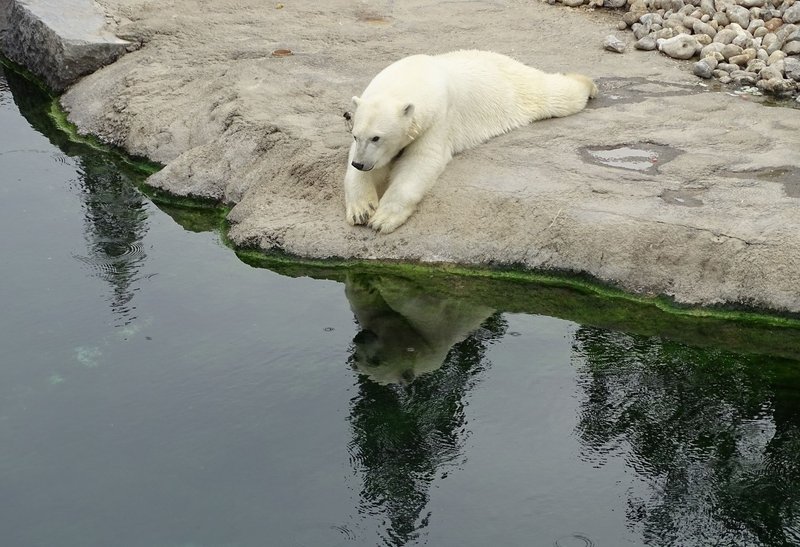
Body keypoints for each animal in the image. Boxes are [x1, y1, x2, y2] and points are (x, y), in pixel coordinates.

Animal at [343, 50, 597, 234]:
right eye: (356, 135)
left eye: (377, 137)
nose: (360, 164)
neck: (413, 74)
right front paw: (362, 209)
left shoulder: (439, 118)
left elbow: (422, 160)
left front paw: (382, 219)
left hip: (519, 89)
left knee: (558, 95)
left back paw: (588, 84)